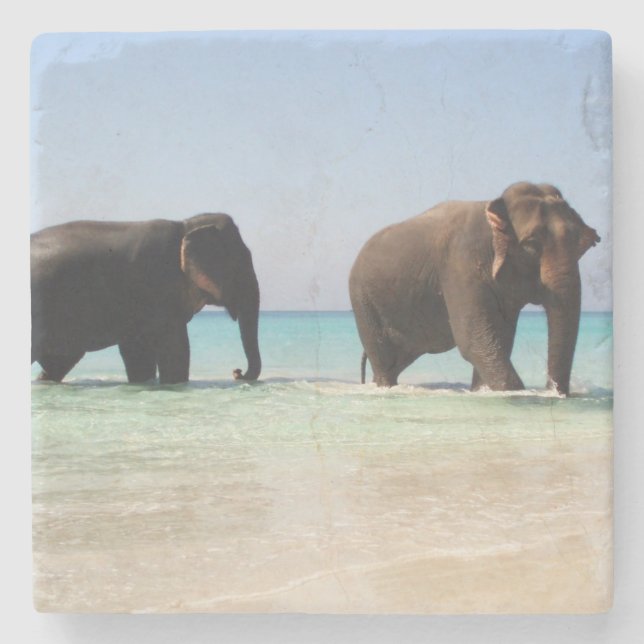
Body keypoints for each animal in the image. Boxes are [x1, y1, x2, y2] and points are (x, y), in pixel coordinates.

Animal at [31, 213, 261, 384]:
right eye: (241, 264)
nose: (237, 372)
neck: (184, 226)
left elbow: (138, 352)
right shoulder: (156, 285)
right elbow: (175, 349)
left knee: (59, 363)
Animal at [349, 182, 600, 395]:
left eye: (581, 245)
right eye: (532, 245)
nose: (553, 391)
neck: (493, 209)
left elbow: (499, 339)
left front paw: (481, 391)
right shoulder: (460, 265)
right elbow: (474, 338)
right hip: (363, 302)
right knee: (382, 361)